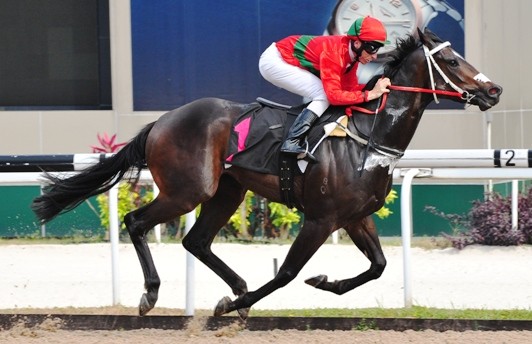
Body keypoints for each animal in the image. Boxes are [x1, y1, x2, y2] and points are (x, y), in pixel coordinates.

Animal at [31, 28, 500, 318]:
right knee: (135, 221)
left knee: (195, 240)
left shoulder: (354, 217)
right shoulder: (321, 218)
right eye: (452, 60)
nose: (493, 90)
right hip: (188, 190)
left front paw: (324, 281)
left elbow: (379, 266)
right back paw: (153, 292)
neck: (369, 138)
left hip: (227, 191)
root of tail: (161, 121)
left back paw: (237, 286)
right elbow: (287, 272)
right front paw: (234, 303)